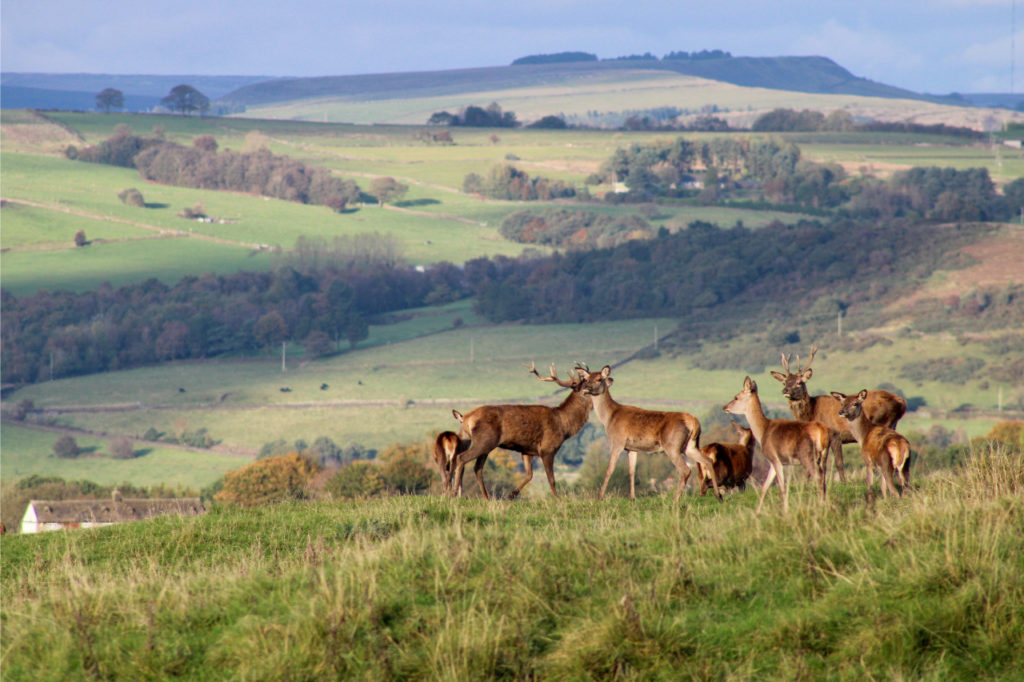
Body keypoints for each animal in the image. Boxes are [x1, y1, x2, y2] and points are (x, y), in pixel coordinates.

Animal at [447, 363, 593, 500]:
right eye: (585, 387)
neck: (564, 426)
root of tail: (466, 418)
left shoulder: (527, 450)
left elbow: (529, 475)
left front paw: (511, 495)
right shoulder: (547, 448)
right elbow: (551, 479)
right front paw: (557, 499)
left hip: (485, 445)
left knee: (477, 467)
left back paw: (486, 497)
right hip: (484, 441)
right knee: (461, 458)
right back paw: (454, 494)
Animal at [576, 364, 724, 503]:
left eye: (599, 379)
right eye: (586, 378)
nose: (585, 386)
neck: (609, 417)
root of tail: (693, 421)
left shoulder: (617, 442)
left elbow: (609, 470)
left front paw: (599, 497)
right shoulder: (632, 448)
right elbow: (632, 471)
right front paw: (632, 498)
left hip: (672, 445)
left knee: (685, 470)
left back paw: (675, 500)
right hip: (690, 446)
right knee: (707, 460)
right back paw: (719, 496)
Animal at [723, 376, 832, 513]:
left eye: (736, 397)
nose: (725, 407)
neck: (762, 431)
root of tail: (822, 431)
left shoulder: (775, 459)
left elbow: (782, 487)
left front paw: (785, 510)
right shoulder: (771, 462)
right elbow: (765, 486)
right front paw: (757, 511)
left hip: (807, 455)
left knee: (818, 477)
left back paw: (820, 505)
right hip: (824, 455)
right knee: (824, 478)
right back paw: (824, 503)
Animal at [771, 346, 907, 484]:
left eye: (799, 382)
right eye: (784, 382)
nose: (785, 390)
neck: (811, 413)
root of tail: (902, 402)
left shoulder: (835, 435)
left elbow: (838, 462)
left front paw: (843, 483)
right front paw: (809, 483)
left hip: (882, 422)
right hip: (892, 425)